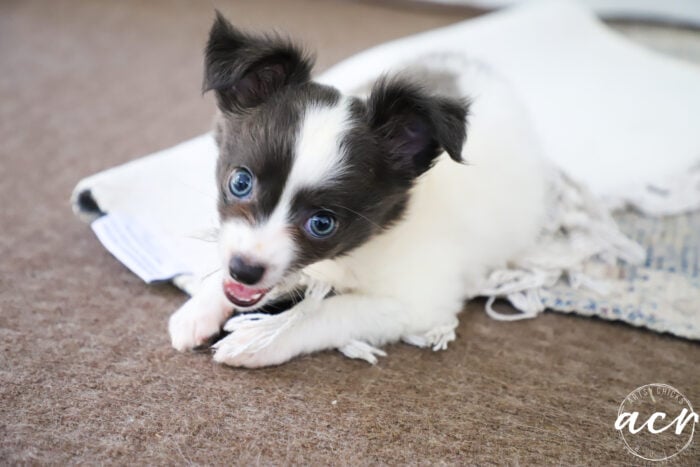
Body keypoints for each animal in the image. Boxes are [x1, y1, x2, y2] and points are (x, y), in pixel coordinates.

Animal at [168, 12, 548, 368]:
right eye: (240, 182)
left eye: (323, 224)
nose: (244, 270)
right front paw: (198, 310)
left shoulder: (417, 303)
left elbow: (326, 312)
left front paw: (259, 339)